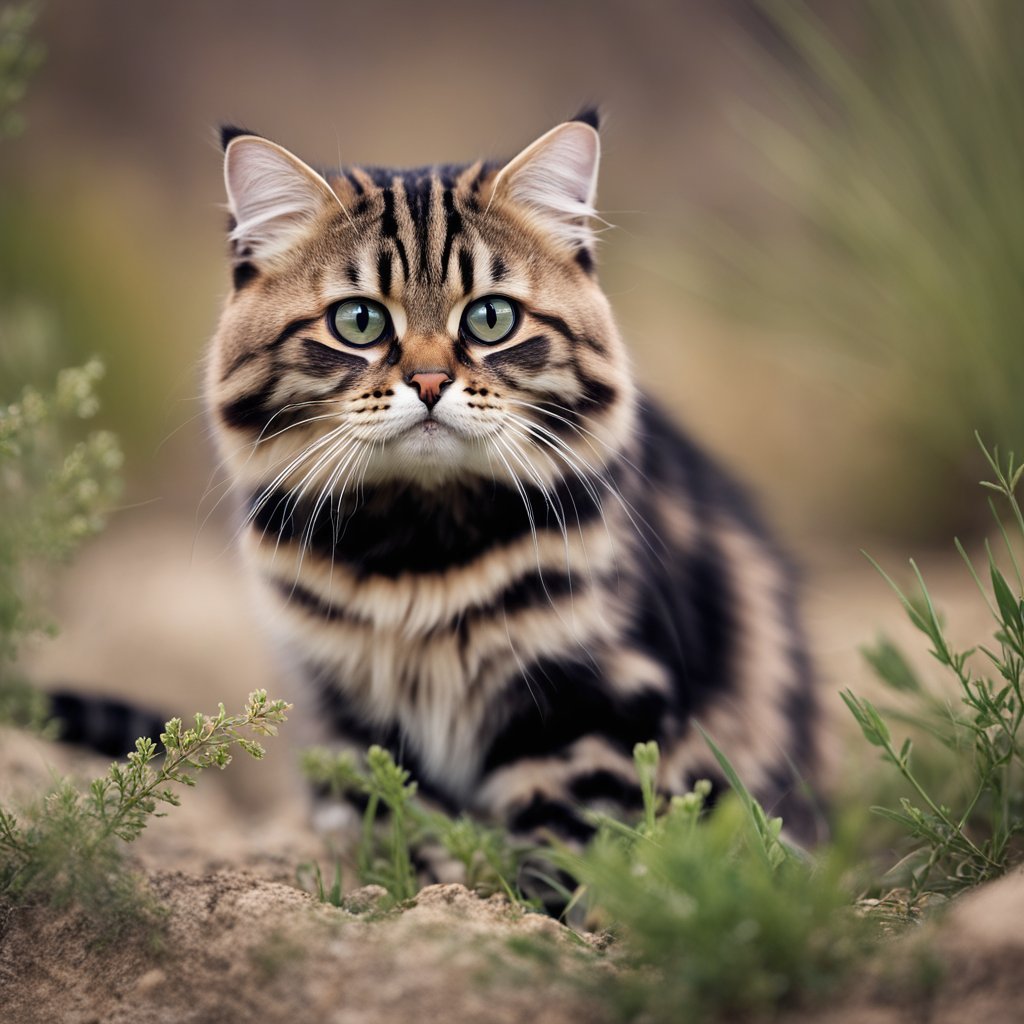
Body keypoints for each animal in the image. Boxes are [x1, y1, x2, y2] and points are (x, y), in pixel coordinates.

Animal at [203, 108, 819, 851]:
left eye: (490, 318)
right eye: (360, 321)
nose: (429, 382)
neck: (422, 548)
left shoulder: (588, 703)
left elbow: (567, 841)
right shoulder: (350, 715)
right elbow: (401, 826)